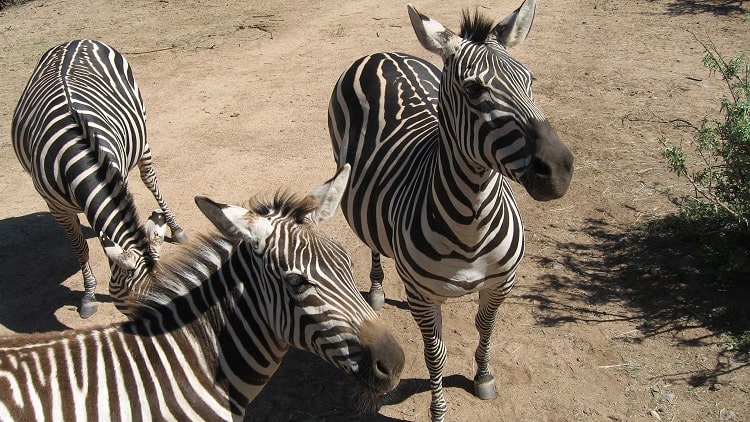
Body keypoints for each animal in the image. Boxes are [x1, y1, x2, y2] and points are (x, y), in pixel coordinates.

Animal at [11, 39, 188, 318]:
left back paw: (176, 227)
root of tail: (75, 40)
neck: (74, 157)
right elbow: (79, 247)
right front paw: (89, 295)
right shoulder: (56, 207)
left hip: (142, 137)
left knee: (149, 179)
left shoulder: (117, 178)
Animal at [328, 1, 576, 420]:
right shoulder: (421, 296)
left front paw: (484, 377)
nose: (559, 169)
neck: (471, 226)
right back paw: (376, 289)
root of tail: (382, 54)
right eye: (475, 89)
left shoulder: (501, 283)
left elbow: (485, 328)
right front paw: (438, 409)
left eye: (530, 80)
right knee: (373, 239)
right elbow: (436, 354)